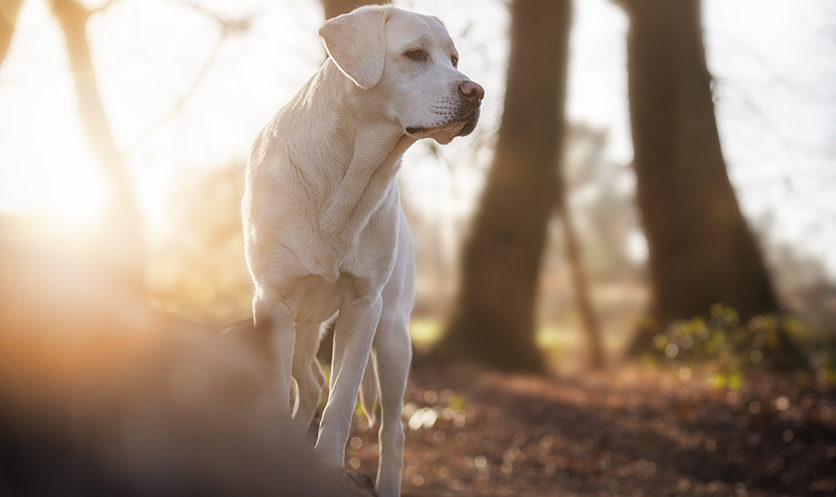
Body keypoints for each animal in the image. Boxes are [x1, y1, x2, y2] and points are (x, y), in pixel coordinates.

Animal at [242, 5, 484, 494]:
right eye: (415, 54)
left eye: (453, 59)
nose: (477, 91)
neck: (348, 175)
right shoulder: (273, 302)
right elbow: (280, 391)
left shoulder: (363, 306)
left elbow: (341, 400)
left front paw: (328, 465)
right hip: (304, 326)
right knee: (310, 383)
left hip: (393, 338)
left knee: (391, 428)